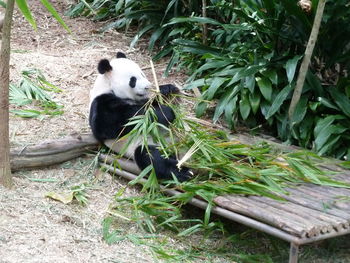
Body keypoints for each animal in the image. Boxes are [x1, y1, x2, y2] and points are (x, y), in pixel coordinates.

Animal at [88, 52, 191, 183]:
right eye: (133, 80)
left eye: (142, 73)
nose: (148, 86)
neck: (108, 86)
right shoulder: (101, 103)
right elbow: (113, 123)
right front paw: (166, 112)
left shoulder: (143, 100)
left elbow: (152, 103)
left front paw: (167, 90)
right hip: (147, 144)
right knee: (151, 157)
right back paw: (183, 171)